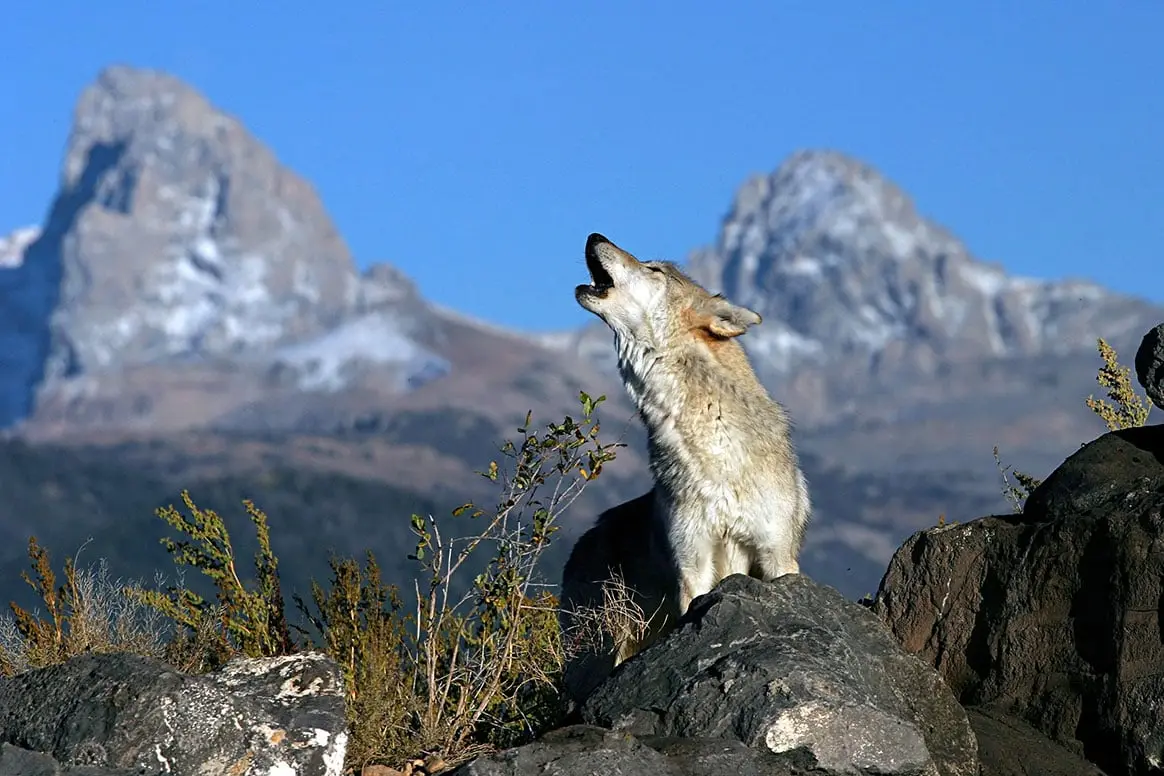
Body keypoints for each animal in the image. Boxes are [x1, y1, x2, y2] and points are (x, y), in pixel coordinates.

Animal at [558, 232, 811, 702]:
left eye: (654, 269)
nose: (595, 236)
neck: (715, 454)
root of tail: (582, 543)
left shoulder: (776, 556)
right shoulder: (692, 565)